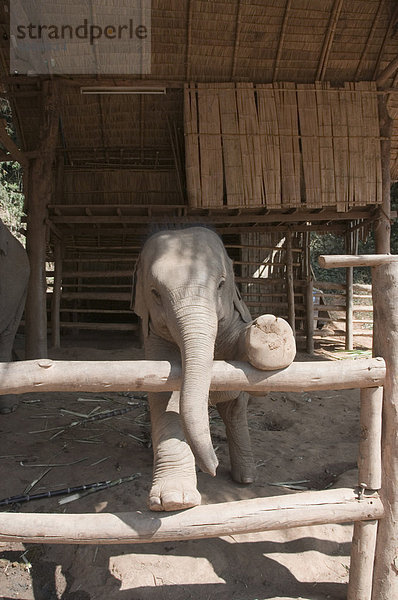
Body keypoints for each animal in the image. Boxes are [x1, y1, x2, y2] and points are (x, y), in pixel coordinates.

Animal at [134, 226, 296, 510]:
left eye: (221, 284)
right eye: (155, 292)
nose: (213, 466)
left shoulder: (233, 316)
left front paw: (271, 333)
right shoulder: (152, 337)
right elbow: (165, 397)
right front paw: (174, 501)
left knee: (234, 411)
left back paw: (246, 478)